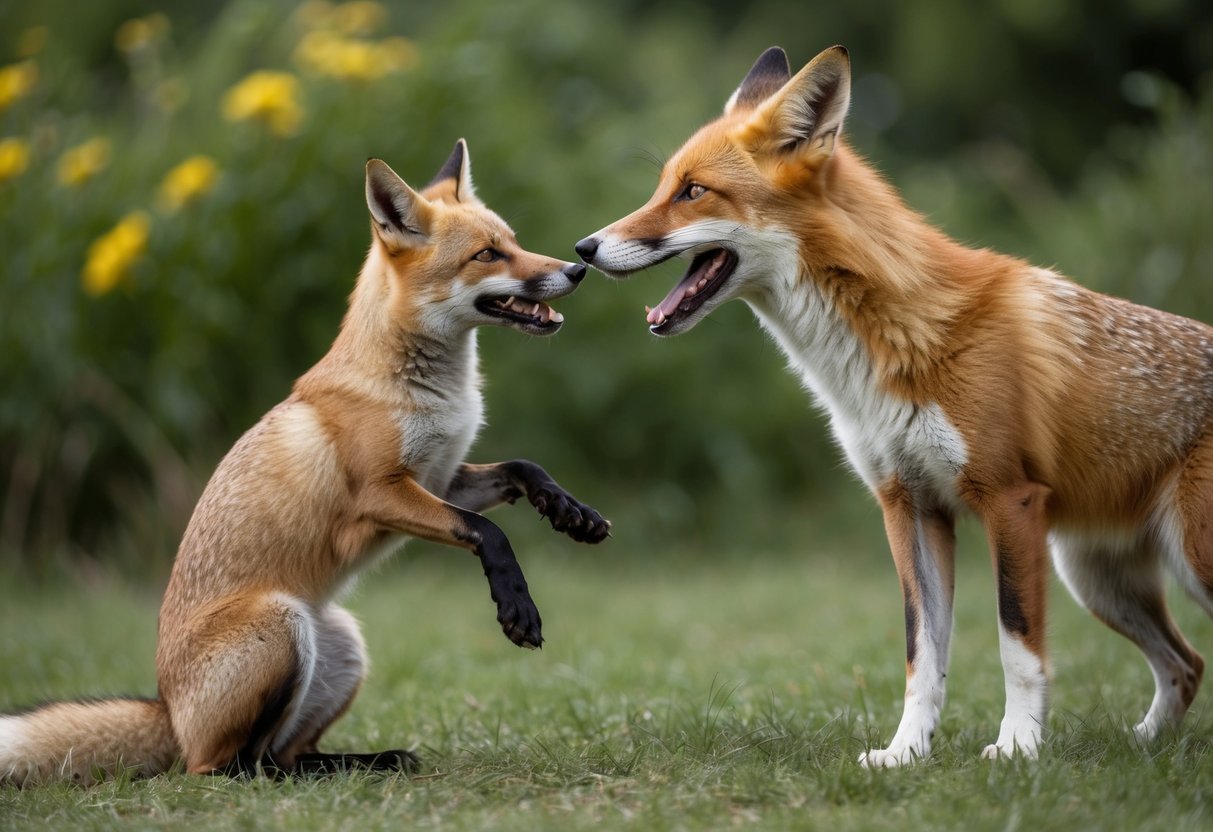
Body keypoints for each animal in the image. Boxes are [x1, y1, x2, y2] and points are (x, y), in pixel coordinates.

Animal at [0, 140, 610, 786]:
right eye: (487, 254)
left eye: (514, 241)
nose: (576, 269)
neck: (425, 390)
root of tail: (168, 710)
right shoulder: (381, 494)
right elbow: (488, 532)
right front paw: (516, 606)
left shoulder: (440, 476)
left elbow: (523, 468)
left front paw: (571, 513)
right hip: (283, 629)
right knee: (236, 766)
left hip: (341, 644)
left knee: (285, 751)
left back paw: (370, 762)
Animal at [575, 45, 1213, 766]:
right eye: (662, 187)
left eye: (691, 191)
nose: (583, 249)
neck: (894, 341)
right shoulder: (908, 503)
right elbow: (921, 653)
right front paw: (905, 754)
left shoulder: (1008, 499)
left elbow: (1016, 645)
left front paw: (1017, 750)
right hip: (1096, 577)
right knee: (1187, 664)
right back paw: (1144, 746)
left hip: (1186, 558)